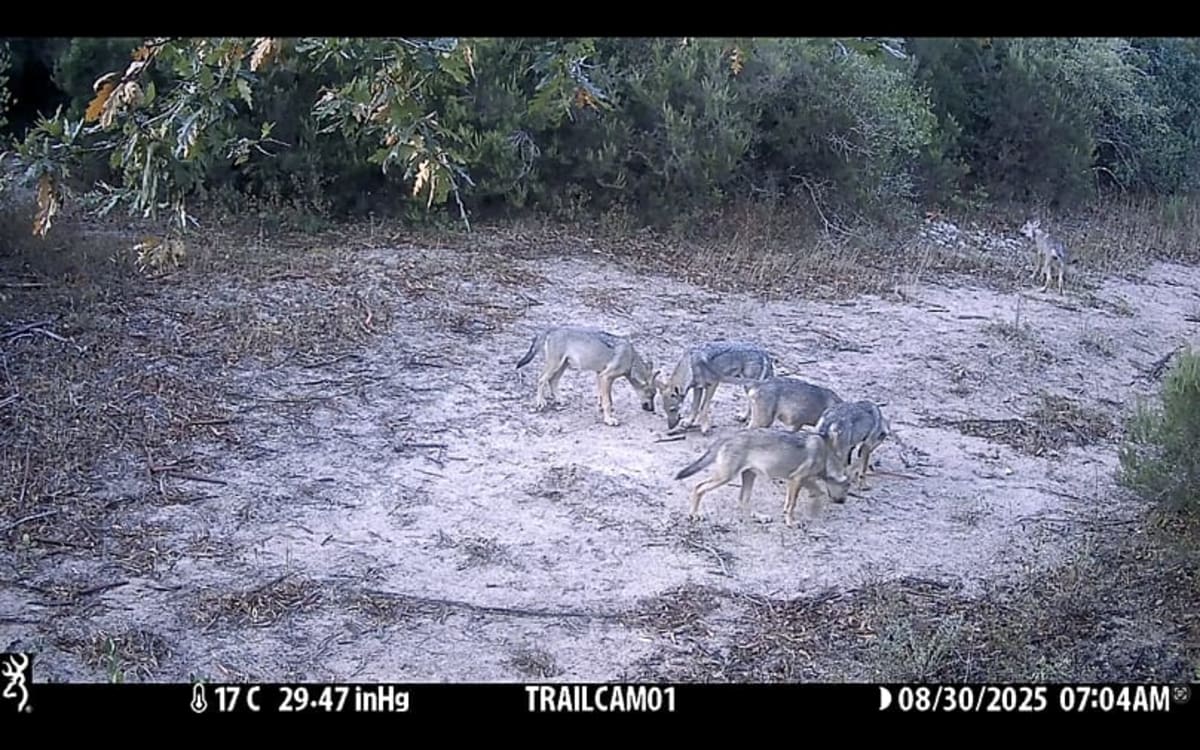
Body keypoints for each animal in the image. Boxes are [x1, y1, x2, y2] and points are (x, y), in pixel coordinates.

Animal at [515, 326, 658, 426]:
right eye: (651, 395)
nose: (652, 410)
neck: (630, 359)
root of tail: (552, 328)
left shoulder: (600, 375)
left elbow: (603, 397)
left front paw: (602, 408)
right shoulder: (606, 377)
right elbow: (608, 401)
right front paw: (609, 419)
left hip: (562, 366)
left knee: (552, 381)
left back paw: (560, 400)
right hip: (555, 365)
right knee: (541, 379)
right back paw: (540, 402)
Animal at [673, 428, 850, 527]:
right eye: (847, 489)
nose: (843, 502)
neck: (826, 454)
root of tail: (729, 436)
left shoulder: (799, 480)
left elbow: (811, 494)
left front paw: (813, 509)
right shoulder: (797, 479)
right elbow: (792, 505)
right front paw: (791, 522)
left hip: (749, 475)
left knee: (743, 501)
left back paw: (759, 517)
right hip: (725, 477)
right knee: (698, 487)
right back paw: (694, 514)